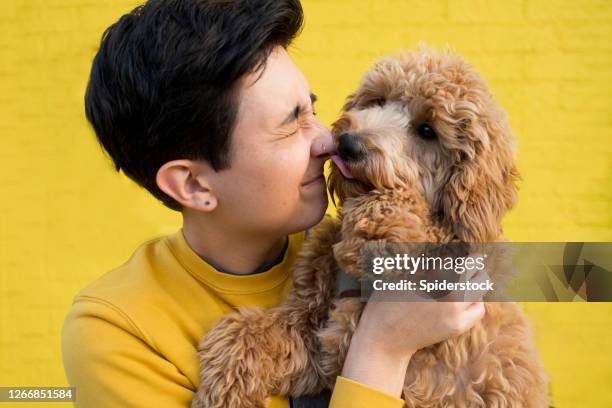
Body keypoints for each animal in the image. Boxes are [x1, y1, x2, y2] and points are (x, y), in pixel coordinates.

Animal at [191, 50, 548, 408]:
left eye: (427, 131)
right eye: (378, 100)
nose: (349, 143)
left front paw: (379, 228)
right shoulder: (320, 333)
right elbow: (255, 332)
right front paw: (222, 382)